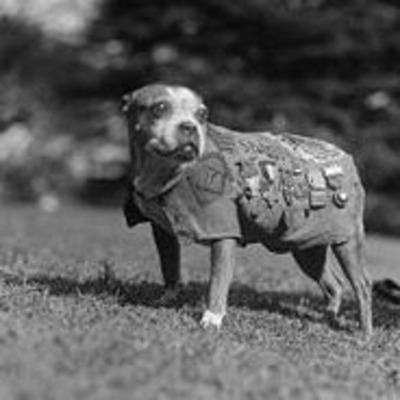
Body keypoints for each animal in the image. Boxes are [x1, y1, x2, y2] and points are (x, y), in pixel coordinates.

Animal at [121, 83, 372, 338]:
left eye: (202, 115)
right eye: (159, 108)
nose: (190, 127)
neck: (165, 172)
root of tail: (345, 156)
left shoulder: (224, 236)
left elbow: (217, 281)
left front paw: (212, 319)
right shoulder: (162, 232)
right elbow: (170, 268)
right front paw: (168, 298)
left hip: (346, 242)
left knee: (362, 285)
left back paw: (364, 332)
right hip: (307, 246)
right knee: (334, 284)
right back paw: (327, 318)